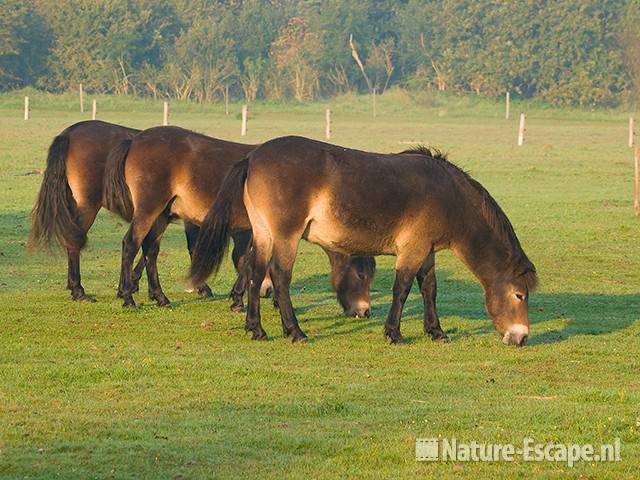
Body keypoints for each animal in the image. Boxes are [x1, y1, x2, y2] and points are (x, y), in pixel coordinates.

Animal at [28, 119, 215, 300]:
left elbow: (147, 247)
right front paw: (202, 287)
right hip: (88, 206)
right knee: (74, 240)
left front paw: (130, 286)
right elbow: (190, 246)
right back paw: (78, 291)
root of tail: (69, 132)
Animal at [104, 126, 376, 316]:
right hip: (149, 210)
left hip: (161, 215)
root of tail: (135, 140)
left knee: (150, 250)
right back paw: (128, 298)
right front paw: (244, 300)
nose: (364, 311)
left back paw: (160, 297)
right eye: (361, 275)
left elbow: (250, 262)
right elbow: (249, 262)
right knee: (131, 244)